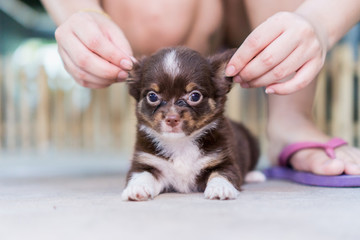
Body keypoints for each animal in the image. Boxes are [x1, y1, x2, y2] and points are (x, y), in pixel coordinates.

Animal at [122, 47, 262, 201]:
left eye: (195, 96)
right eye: (152, 96)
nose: (172, 118)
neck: (180, 144)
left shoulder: (224, 161)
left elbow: (221, 174)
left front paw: (220, 188)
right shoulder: (147, 161)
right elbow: (141, 175)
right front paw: (137, 188)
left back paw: (253, 175)